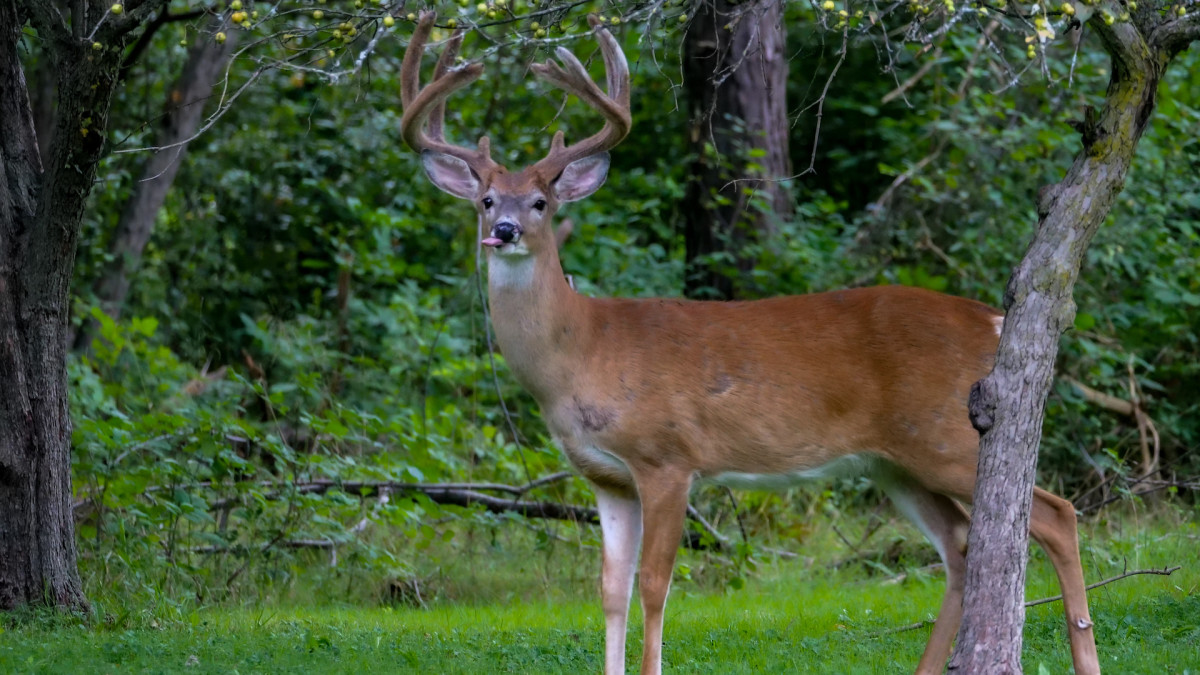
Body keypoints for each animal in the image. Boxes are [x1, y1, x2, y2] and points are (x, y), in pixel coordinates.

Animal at [398, 14, 1099, 672]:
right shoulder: (606, 476)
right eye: (487, 200)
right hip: (894, 462)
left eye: (541, 202)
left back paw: (1083, 653)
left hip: (950, 434)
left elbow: (654, 586)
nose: (506, 230)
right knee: (958, 545)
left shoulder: (667, 457)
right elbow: (609, 590)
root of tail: (993, 320)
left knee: (1055, 514)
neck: (581, 351)